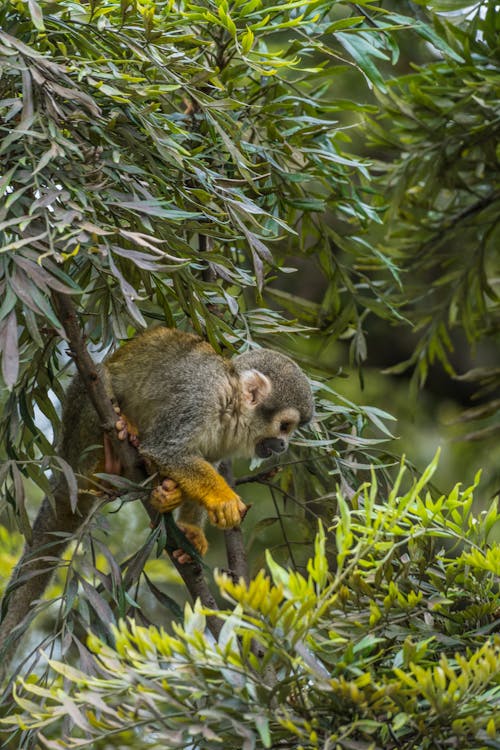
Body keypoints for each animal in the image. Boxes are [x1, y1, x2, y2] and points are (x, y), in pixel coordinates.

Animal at [65, 326, 314, 560]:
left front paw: (186, 522)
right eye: (285, 426)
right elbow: (165, 450)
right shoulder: (200, 399)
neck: (231, 405)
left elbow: (202, 462)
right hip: (78, 429)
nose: (283, 446)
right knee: (99, 375)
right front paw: (224, 498)